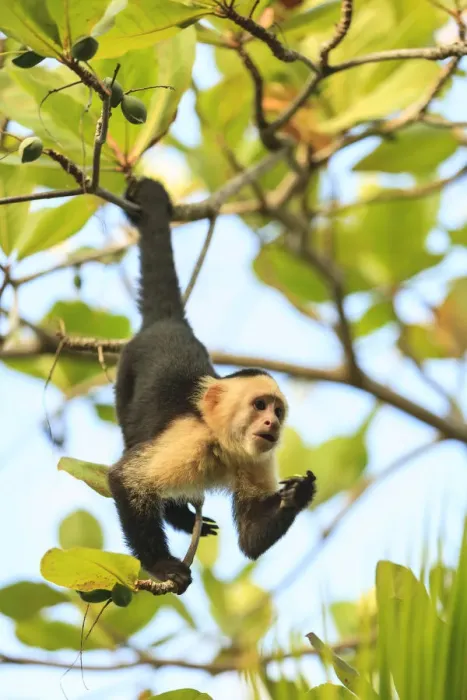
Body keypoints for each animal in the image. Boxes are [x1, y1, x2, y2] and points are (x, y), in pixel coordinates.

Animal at [108, 178, 316, 594]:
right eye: (259, 406)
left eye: (278, 411)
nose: (272, 423)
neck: (223, 443)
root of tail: (170, 322)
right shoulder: (189, 438)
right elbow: (124, 480)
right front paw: (162, 564)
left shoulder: (257, 457)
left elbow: (250, 538)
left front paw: (296, 495)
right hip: (126, 369)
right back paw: (177, 516)